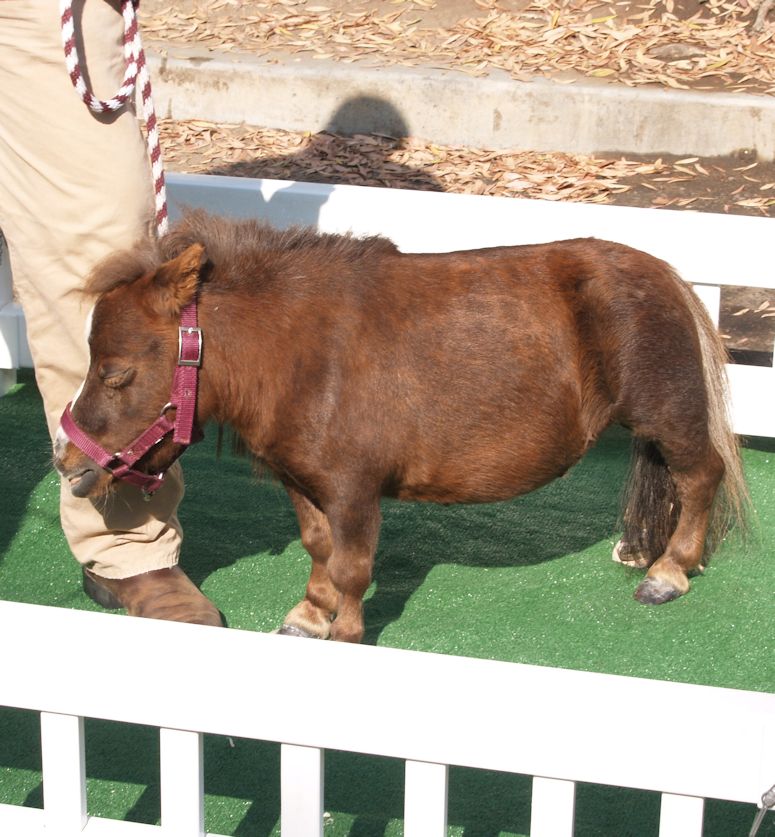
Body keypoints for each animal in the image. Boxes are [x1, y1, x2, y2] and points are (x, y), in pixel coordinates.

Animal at [51, 209, 748, 640]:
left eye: (116, 373)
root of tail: (668, 276)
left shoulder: (355, 490)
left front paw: (346, 633)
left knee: (701, 476)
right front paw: (310, 616)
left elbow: (353, 568)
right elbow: (319, 548)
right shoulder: (304, 483)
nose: (68, 462)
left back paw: (669, 572)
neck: (301, 356)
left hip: (668, 415)